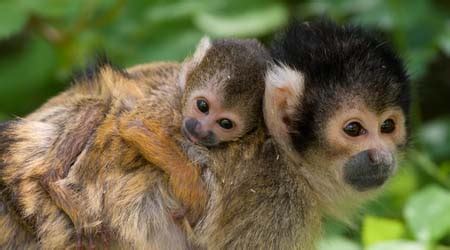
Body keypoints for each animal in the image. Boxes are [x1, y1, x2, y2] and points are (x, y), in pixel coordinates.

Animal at [0, 36, 268, 248]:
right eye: (202, 106)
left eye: (225, 123)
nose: (199, 129)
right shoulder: (169, 104)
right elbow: (134, 125)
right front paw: (193, 191)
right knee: (100, 105)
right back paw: (51, 178)